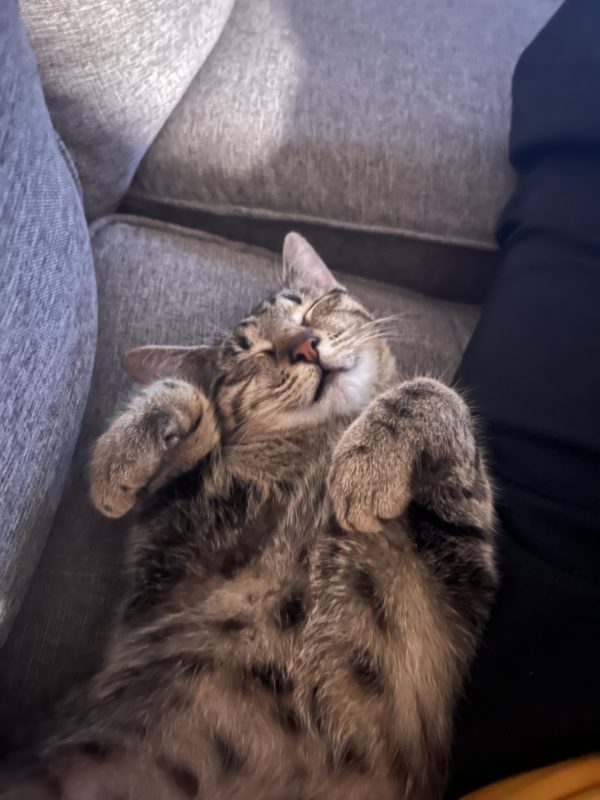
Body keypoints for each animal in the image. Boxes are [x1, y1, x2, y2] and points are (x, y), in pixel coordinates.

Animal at [0, 233, 497, 800]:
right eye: (250, 355)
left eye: (309, 309)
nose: (305, 344)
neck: (321, 443)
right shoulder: (165, 568)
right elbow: (181, 398)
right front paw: (118, 458)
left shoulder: (460, 583)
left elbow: (437, 392)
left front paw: (368, 460)